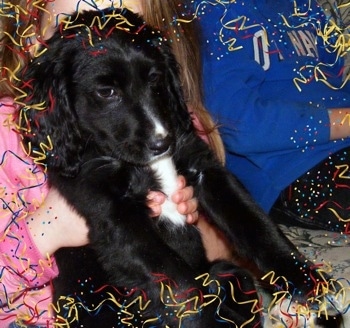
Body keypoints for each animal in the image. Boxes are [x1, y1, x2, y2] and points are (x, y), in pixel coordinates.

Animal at [19, 7, 344, 328]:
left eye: (154, 78)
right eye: (106, 92)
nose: (162, 143)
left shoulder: (205, 170)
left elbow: (258, 227)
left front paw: (312, 285)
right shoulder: (115, 212)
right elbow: (180, 287)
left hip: (229, 272)